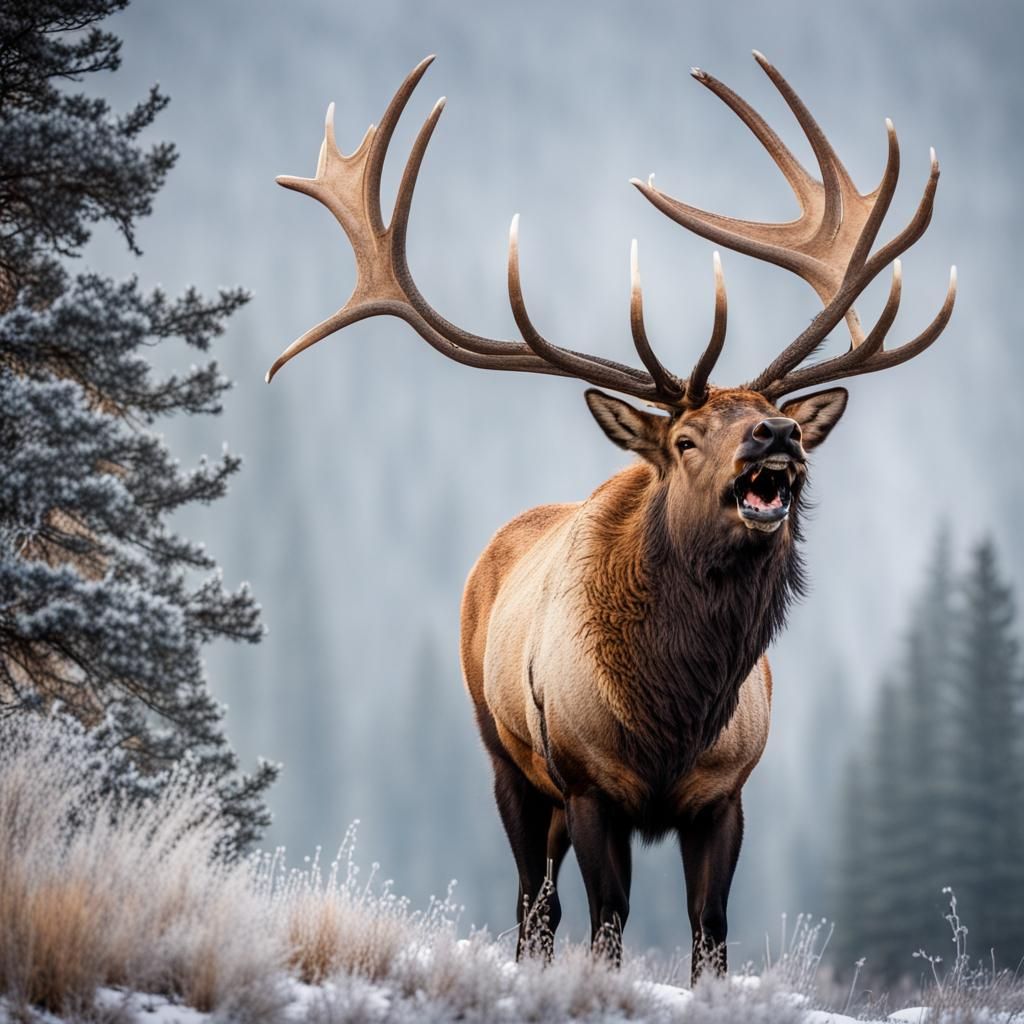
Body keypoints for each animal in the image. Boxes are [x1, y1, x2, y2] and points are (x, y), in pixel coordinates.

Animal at [268, 51, 954, 978]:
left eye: (771, 412)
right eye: (688, 438)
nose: (777, 433)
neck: (674, 708)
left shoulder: (727, 791)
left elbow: (710, 928)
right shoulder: (589, 780)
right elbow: (606, 923)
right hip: (508, 758)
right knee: (534, 903)